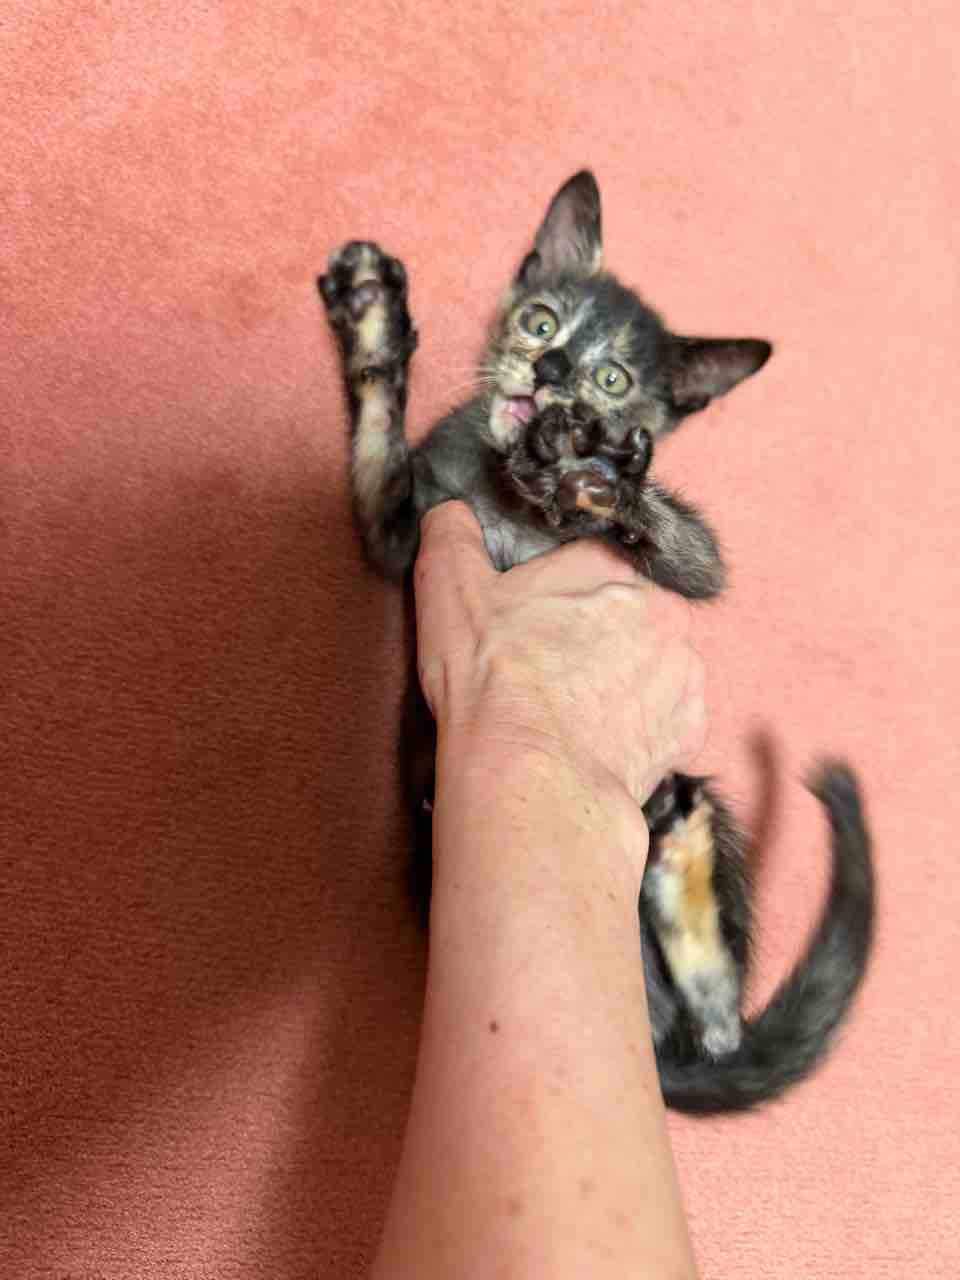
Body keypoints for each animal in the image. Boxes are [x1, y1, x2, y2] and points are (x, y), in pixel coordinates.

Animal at [317, 171, 874, 1113]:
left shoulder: (699, 563)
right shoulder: (401, 527)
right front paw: (373, 320)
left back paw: (682, 856)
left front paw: (600, 476)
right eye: (540, 322)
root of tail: (657, 1045)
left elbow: (681, 539)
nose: (550, 373)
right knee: (714, 1028)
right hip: (441, 855)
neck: (507, 498)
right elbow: (380, 426)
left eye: (612, 378)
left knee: (721, 1022)